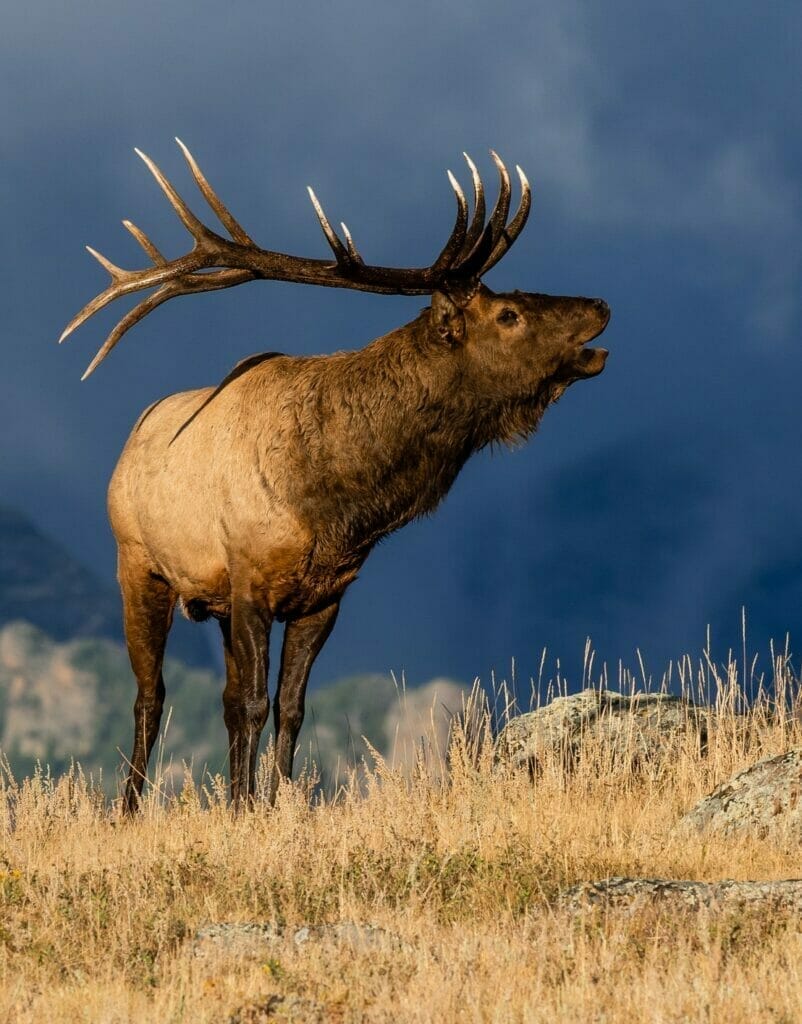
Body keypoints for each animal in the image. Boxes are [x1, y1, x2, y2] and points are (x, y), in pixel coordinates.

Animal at [60, 141, 610, 811]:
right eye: (507, 313)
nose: (600, 305)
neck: (337, 504)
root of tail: (128, 442)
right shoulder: (250, 578)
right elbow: (253, 703)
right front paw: (244, 810)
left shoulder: (324, 594)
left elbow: (289, 708)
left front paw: (272, 803)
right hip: (138, 564)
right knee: (150, 696)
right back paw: (129, 809)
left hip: (210, 600)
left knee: (218, 697)